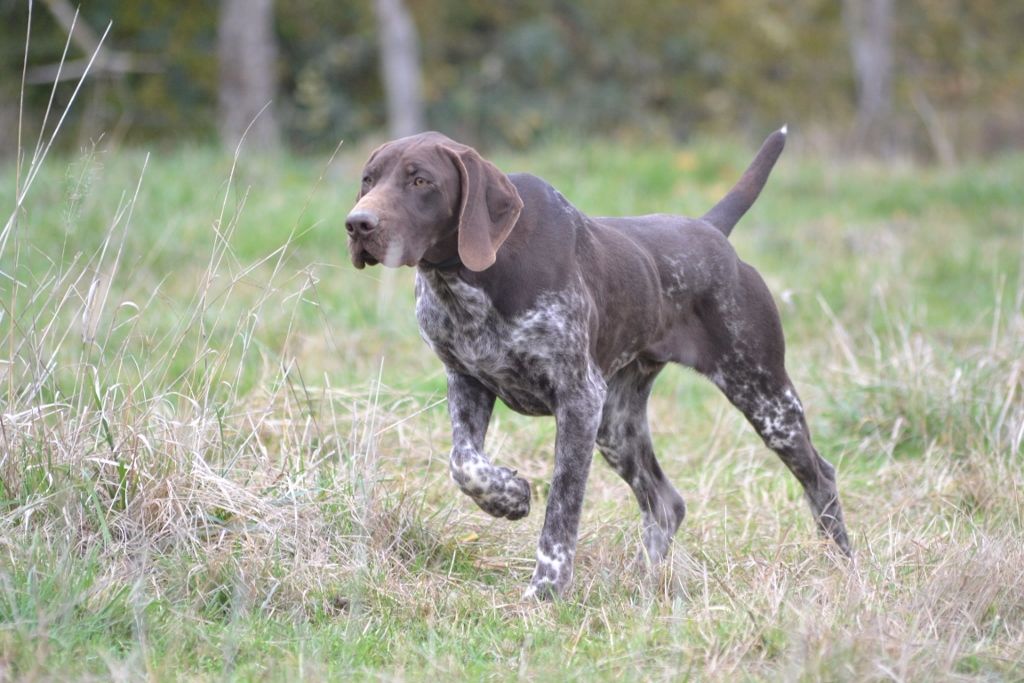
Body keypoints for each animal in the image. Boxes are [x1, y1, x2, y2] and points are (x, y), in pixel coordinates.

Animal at [348, 126, 851, 598]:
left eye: (420, 180)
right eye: (368, 179)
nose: (357, 224)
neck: (472, 276)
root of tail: (710, 229)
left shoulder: (578, 400)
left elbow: (561, 509)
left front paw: (546, 589)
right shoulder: (467, 381)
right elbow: (464, 463)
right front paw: (507, 498)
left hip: (765, 397)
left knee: (820, 477)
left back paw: (844, 565)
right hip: (617, 427)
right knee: (666, 503)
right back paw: (647, 582)